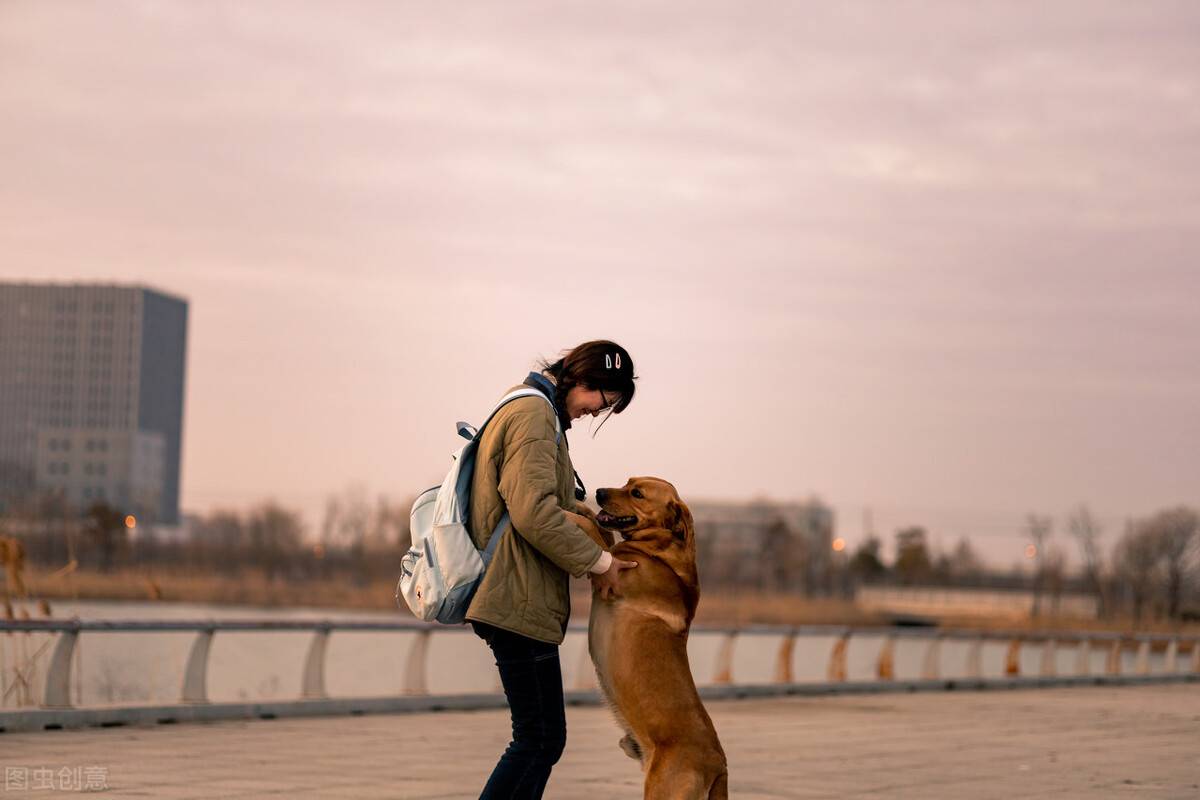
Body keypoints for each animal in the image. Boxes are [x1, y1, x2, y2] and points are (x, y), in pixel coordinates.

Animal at [566, 479, 724, 800]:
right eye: (627, 482)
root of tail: (719, 765)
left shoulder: (611, 572)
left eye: (637, 493)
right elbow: (599, 527)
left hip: (661, 790)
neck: (658, 551)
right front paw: (580, 506)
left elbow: (595, 536)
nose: (599, 492)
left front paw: (569, 515)